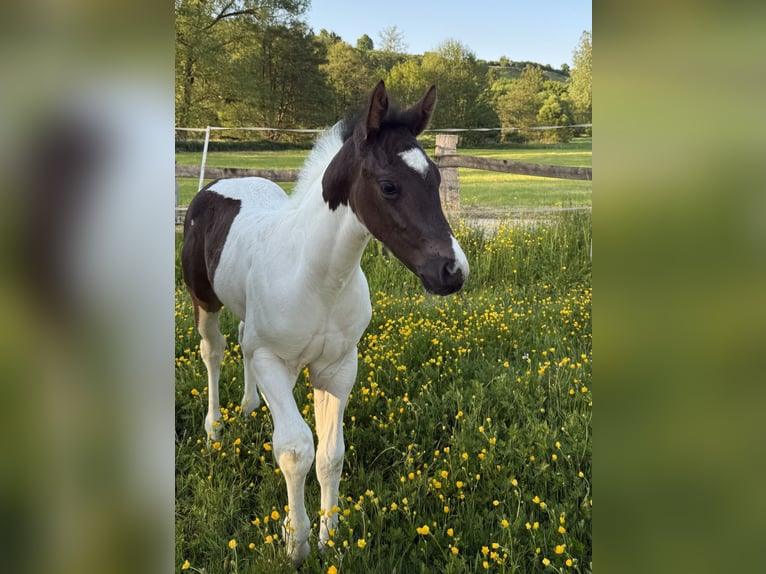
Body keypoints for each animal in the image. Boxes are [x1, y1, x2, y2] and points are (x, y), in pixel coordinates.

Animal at [181, 81, 469, 566]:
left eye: (436, 179)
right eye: (388, 186)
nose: (453, 272)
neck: (318, 278)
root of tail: (220, 183)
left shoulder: (337, 367)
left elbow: (331, 454)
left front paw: (329, 538)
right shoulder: (273, 361)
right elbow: (296, 448)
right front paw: (294, 542)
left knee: (239, 339)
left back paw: (248, 405)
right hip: (204, 300)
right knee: (213, 351)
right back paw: (216, 429)